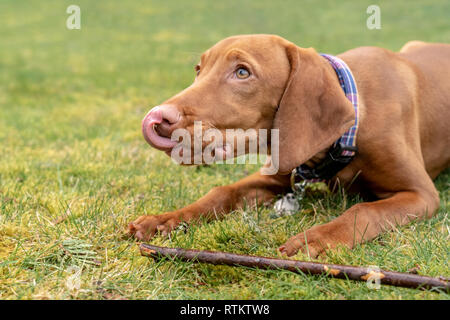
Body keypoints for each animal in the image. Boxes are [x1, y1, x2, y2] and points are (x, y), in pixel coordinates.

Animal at [128, 34, 450, 258]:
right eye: (199, 69)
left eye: (242, 72)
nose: (158, 117)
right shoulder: (277, 172)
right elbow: (222, 191)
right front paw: (164, 219)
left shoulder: (421, 194)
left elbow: (364, 211)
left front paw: (316, 239)